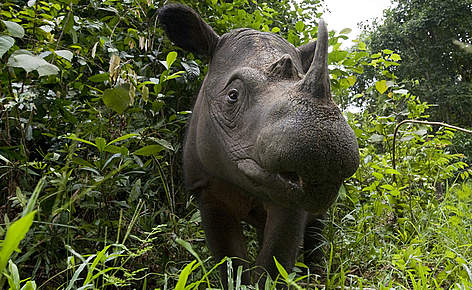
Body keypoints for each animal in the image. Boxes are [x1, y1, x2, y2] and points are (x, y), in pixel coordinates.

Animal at [157, 3, 360, 286]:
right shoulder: (206, 189)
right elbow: (229, 258)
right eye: (232, 96)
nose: (326, 153)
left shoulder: (292, 199)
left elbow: (275, 261)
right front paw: (237, 281)